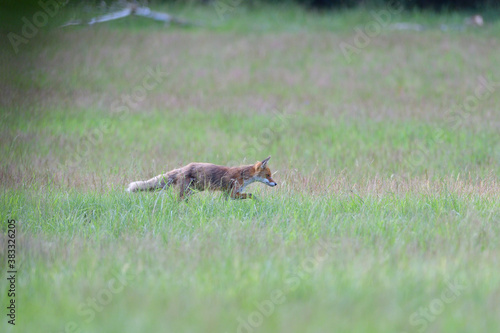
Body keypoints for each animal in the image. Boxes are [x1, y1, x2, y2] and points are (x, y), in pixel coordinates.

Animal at [127, 156, 278, 200]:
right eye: (268, 175)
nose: (276, 184)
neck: (244, 176)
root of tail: (184, 167)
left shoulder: (227, 194)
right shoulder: (232, 193)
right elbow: (251, 195)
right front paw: (257, 201)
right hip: (186, 192)